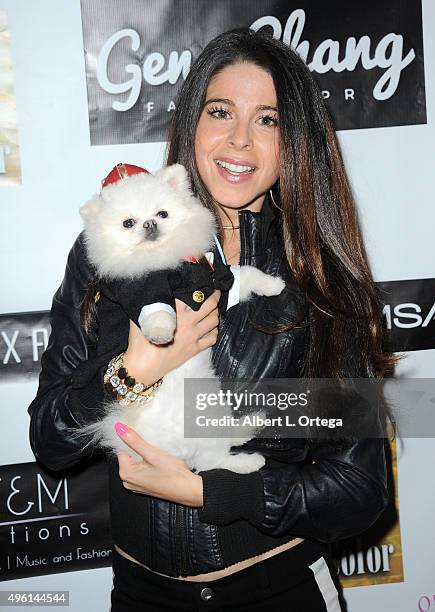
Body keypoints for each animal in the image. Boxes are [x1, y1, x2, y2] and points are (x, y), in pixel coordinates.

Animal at [75, 163, 286, 474]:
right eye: (128, 223)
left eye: (162, 213)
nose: (150, 224)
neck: (166, 260)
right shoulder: (141, 289)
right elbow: (157, 309)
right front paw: (162, 333)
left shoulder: (215, 286)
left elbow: (244, 275)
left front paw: (274, 285)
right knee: (212, 460)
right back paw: (250, 461)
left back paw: (251, 424)